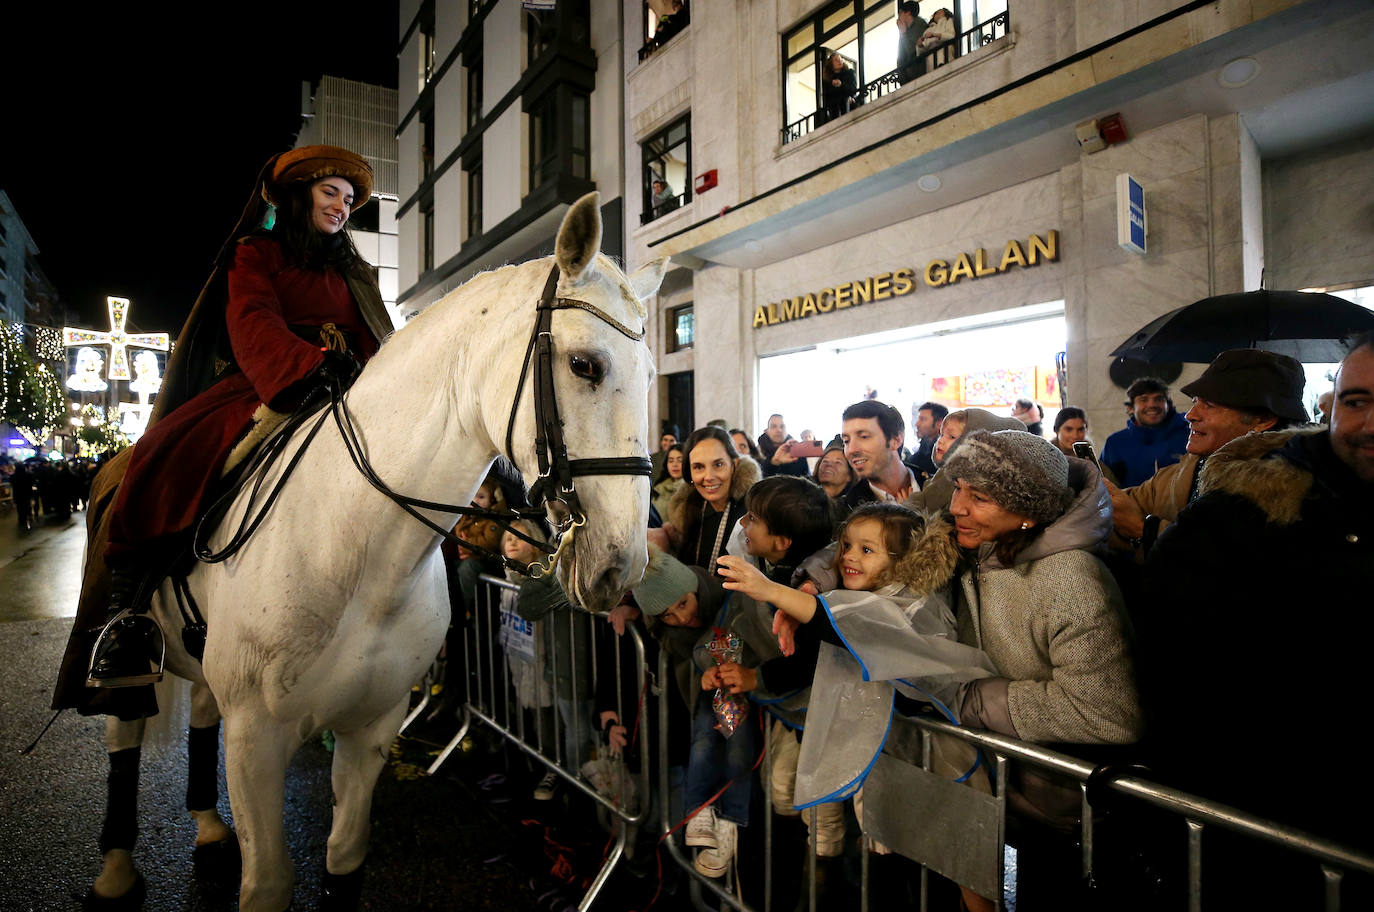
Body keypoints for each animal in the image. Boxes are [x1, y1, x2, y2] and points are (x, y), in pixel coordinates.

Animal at [88, 193, 667, 912]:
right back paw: (116, 868)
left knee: (198, 712)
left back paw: (207, 826)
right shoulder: (255, 742)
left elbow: (343, 861)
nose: (621, 565)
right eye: (585, 364)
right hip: (130, 663)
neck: (356, 550)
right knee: (123, 732)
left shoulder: (369, 729)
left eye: (652, 375)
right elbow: (269, 880)